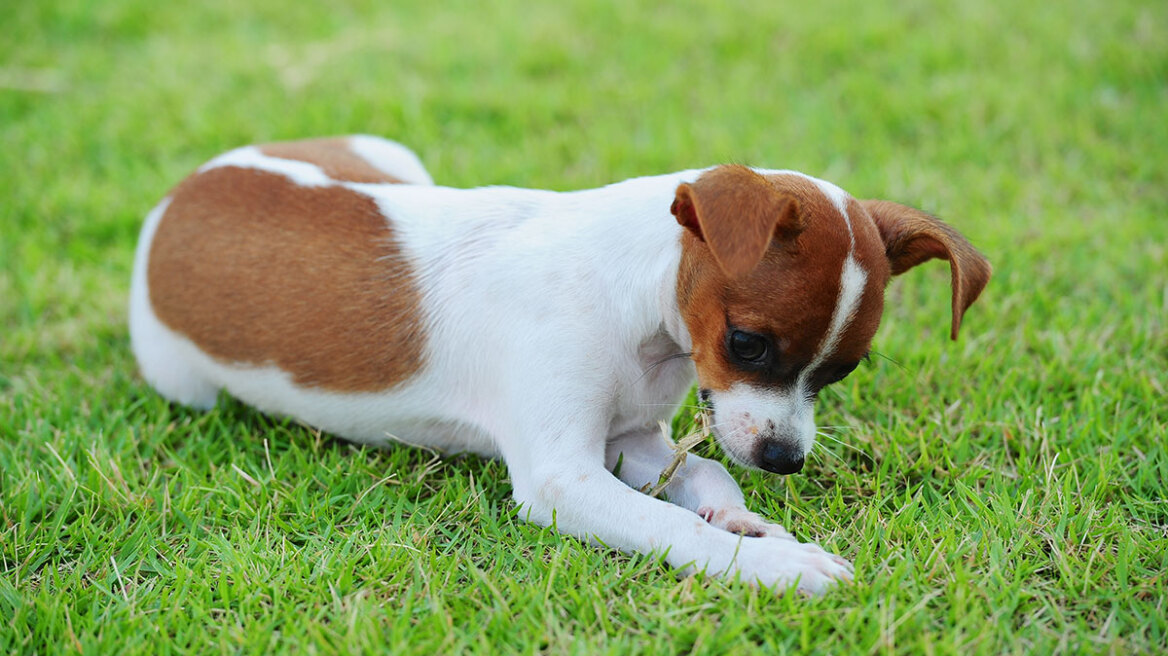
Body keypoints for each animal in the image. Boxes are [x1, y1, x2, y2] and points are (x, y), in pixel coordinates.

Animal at [132, 134, 990, 592]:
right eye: (747, 343)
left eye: (840, 372)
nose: (784, 459)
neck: (634, 308)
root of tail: (177, 197)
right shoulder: (563, 479)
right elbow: (674, 528)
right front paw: (781, 567)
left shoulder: (636, 439)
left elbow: (708, 472)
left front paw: (741, 519)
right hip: (184, 381)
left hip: (390, 160)